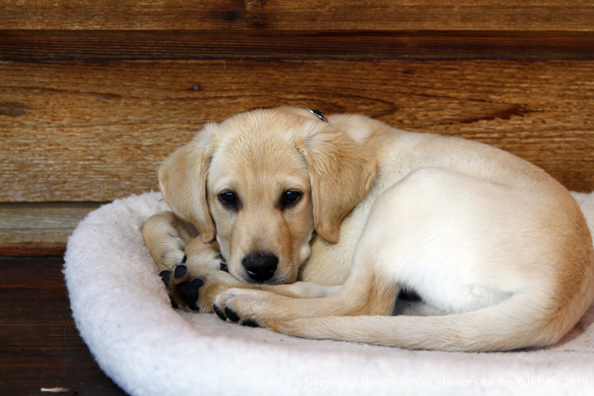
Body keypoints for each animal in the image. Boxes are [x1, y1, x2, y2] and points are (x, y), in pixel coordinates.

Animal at [143, 106, 592, 352]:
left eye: (292, 197)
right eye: (227, 198)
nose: (259, 268)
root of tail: (563, 288)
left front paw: (197, 256)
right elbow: (158, 217)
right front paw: (176, 250)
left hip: (409, 193)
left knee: (360, 302)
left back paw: (233, 297)